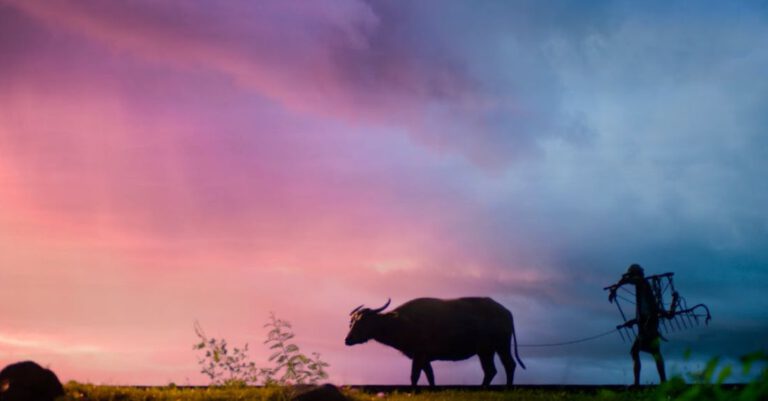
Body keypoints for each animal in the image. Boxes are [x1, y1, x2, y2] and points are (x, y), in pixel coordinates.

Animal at [344, 296, 524, 384]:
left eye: (364, 321)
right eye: (352, 322)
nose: (348, 339)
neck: (403, 322)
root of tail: (507, 312)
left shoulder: (419, 355)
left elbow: (414, 376)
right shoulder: (424, 358)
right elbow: (430, 376)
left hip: (501, 346)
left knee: (509, 365)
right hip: (485, 351)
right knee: (490, 370)